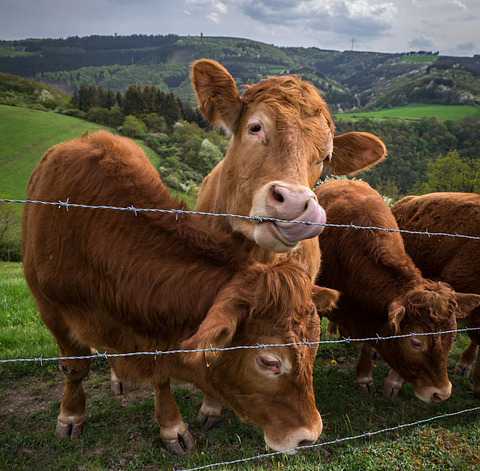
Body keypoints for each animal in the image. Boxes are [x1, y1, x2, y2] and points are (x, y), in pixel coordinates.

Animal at [21, 131, 338, 456]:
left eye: (314, 347)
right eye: (269, 362)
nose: (308, 436)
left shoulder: (152, 329)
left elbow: (160, 376)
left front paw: (171, 426)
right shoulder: (51, 311)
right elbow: (74, 367)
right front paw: (70, 416)